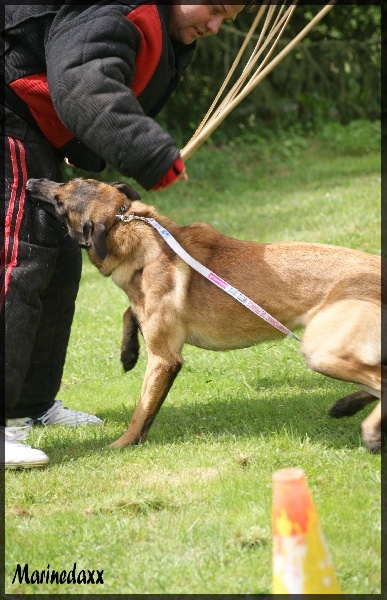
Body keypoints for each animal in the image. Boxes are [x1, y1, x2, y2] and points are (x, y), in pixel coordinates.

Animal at [25, 178, 386, 450]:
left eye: (59, 202)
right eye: (67, 181)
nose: (30, 182)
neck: (126, 222)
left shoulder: (164, 358)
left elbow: (142, 409)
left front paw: (121, 445)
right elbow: (131, 313)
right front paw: (128, 353)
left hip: (320, 349)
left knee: (379, 380)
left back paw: (369, 429)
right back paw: (347, 406)